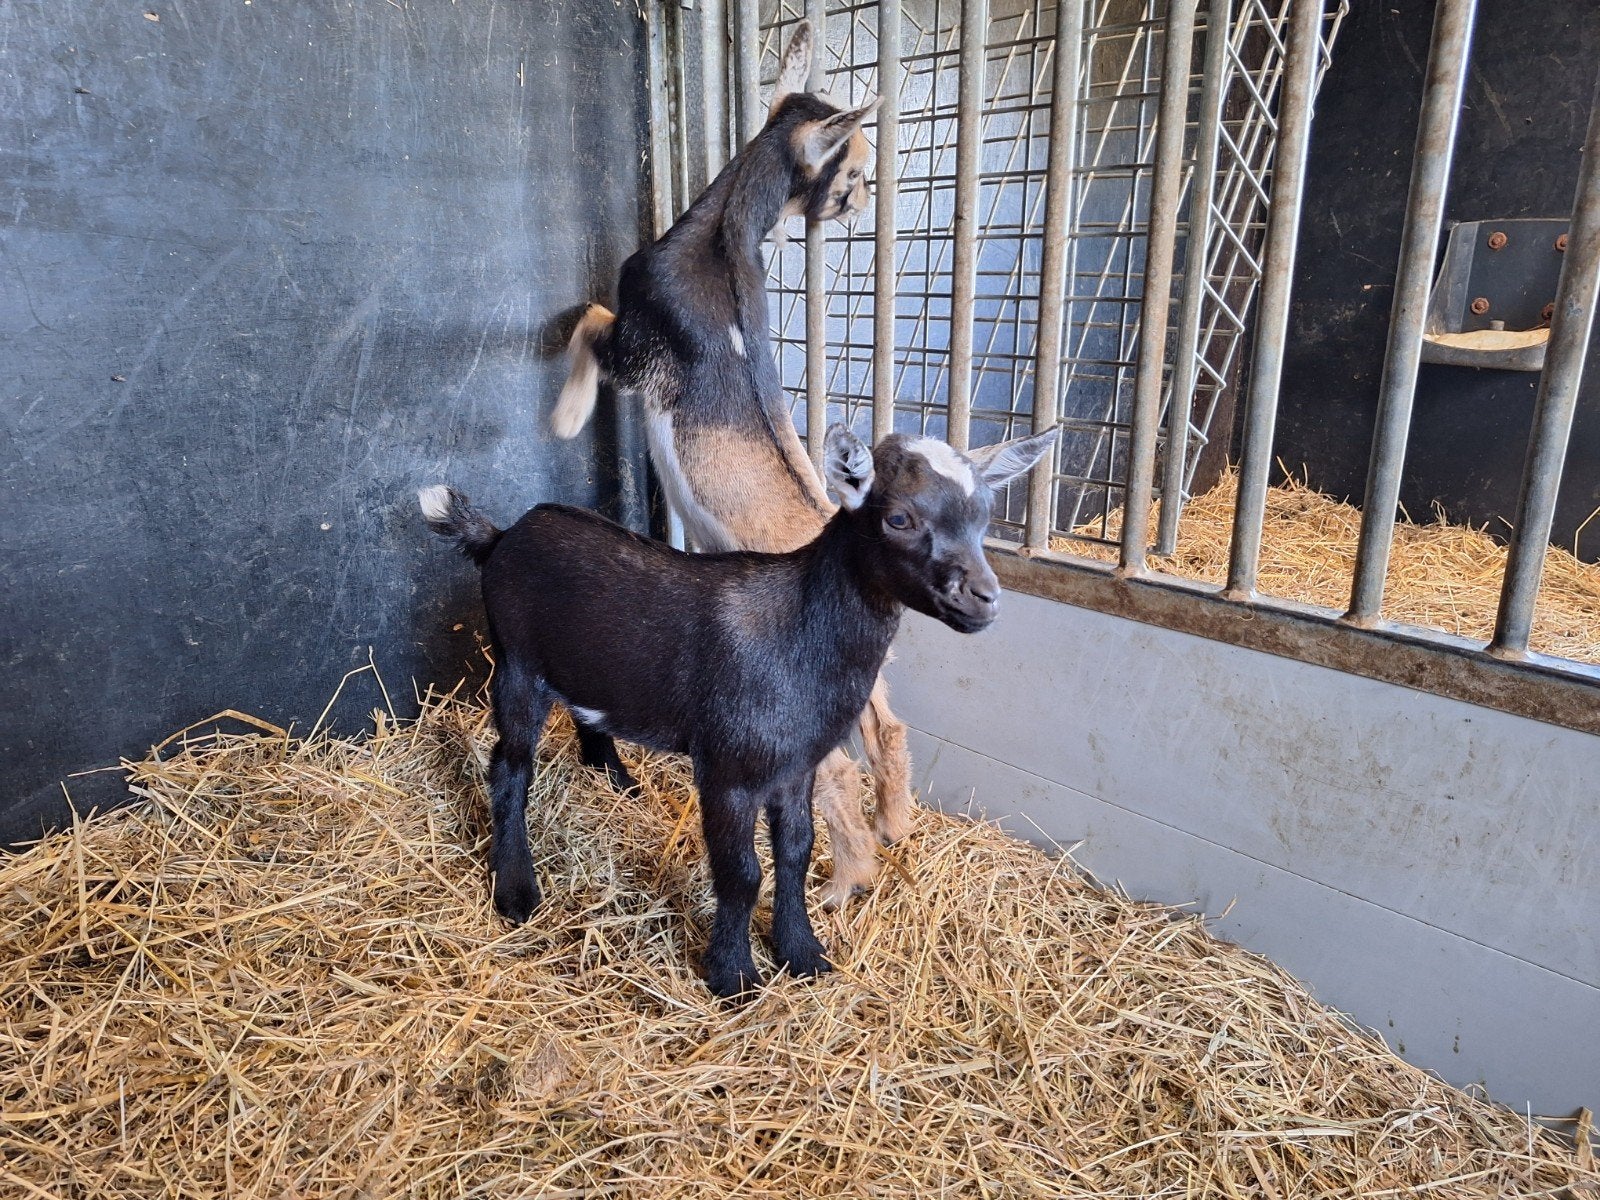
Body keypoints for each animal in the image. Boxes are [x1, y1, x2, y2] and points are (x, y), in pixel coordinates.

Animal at [420, 424, 1057, 998]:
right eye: (899, 518)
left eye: (983, 517)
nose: (984, 599)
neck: (799, 630)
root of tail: (503, 535)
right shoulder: (727, 770)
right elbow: (742, 873)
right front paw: (734, 977)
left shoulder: (796, 768)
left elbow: (796, 853)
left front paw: (803, 953)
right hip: (516, 662)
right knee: (509, 766)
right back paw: (516, 891)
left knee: (583, 711)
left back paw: (615, 777)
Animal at [549, 22, 919, 909]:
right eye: (854, 168)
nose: (863, 202)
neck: (718, 239)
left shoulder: (635, 342)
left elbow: (590, 317)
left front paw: (564, 414)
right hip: (857, 683)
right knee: (886, 727)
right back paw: (895, 827)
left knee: (830, 776)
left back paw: (842, 884)